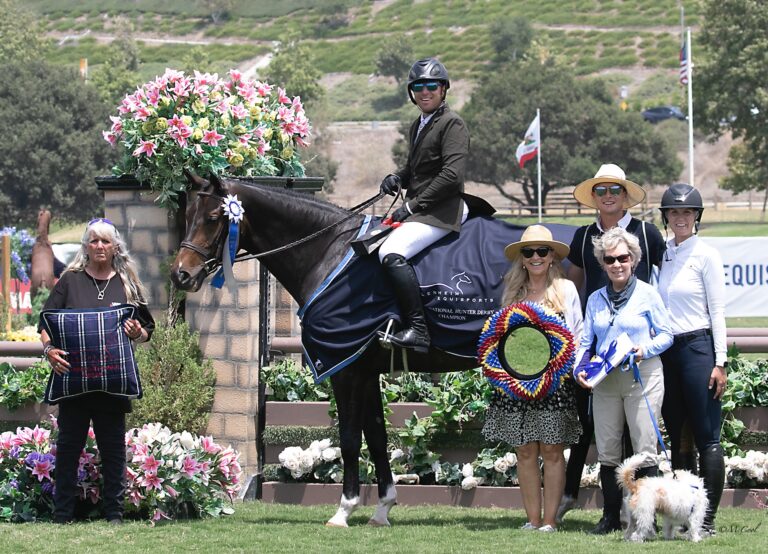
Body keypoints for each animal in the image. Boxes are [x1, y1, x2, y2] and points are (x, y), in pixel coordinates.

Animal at [173, 175, 480, 524]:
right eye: (187, 215)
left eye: (213, 218)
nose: (181, 274)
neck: (330, 251)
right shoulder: (365, 369)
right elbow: (376, 436)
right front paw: (383, 508)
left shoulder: (345, 367)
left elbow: (349, 438)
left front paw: (344, 509)